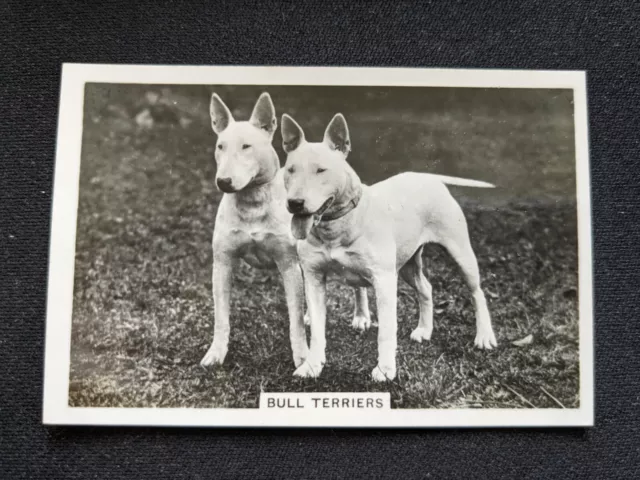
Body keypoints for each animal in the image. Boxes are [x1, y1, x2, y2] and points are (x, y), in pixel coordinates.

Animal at [282, 110, 498, 380]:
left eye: (321, 170)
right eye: (290, 170)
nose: (295, 203)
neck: (337, 226)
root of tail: (428, 177)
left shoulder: (383, 280)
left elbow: (385, 331)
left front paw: (384, 371)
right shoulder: (313, 277)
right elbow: (318, 330)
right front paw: (311, 366)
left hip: (460, 252)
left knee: (477, 293)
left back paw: (484, 336)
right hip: (407, 264)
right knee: (425, 288)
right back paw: (424, 330)